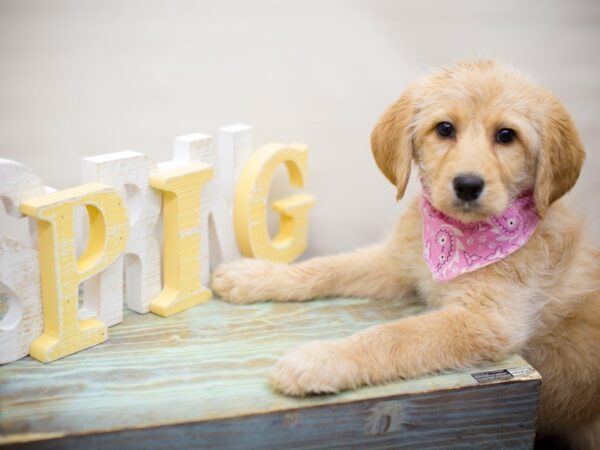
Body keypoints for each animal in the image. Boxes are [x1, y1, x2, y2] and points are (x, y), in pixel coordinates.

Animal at [213, 60, 596, 450]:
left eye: (507, 135)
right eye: (445, 128)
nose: (468, 185)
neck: (457, 236)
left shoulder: (488, 320)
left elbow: (396, 334)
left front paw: (321, 360)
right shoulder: (397, 264)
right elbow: (327, 266)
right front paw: (256, 275)